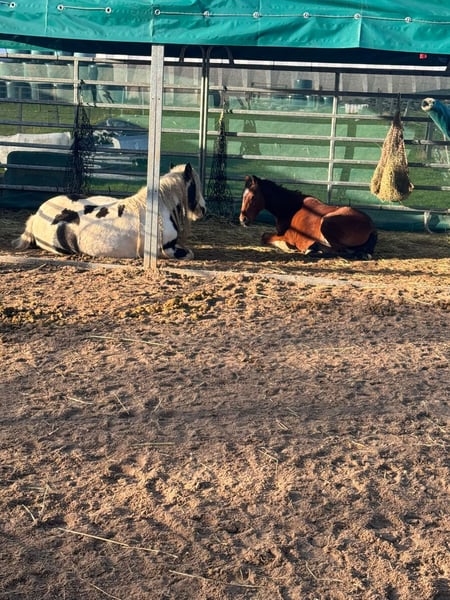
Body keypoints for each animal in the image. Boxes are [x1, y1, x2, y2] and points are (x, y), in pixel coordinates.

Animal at [12, 163, 206, 259]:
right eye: (195, 185)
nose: (203, 209)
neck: (159, 210)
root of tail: (37, 216)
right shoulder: (168, 250)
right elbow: (190, 254)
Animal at [240, 175, 377, 259]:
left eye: (253, 197)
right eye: (243, 196)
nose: (243, 219)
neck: (290, 207)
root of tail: (371, 227)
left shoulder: (286, 236)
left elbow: (265, 237)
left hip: (326, 223)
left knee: (340, 251)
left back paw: (312, 249)